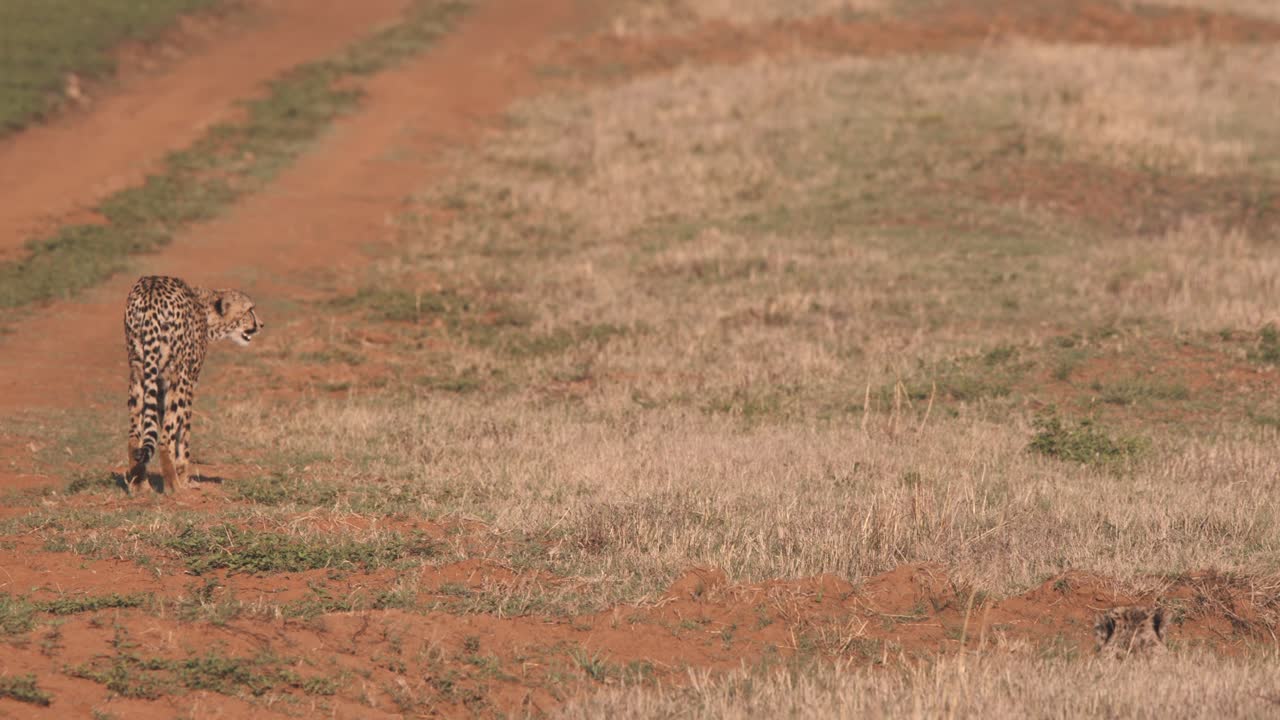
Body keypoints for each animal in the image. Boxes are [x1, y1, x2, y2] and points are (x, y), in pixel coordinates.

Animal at [124, 276, 263, 494]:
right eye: (249, 310)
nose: (261, 325)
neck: (205, 309)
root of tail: (151, 292)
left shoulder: (160, 383)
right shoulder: (188, 382)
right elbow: (182, 436)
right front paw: (184, 479)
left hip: (139, 373)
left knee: (135, 438)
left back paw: (139, 485)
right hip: (178, 379)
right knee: (164, 439)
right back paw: (173, 486)